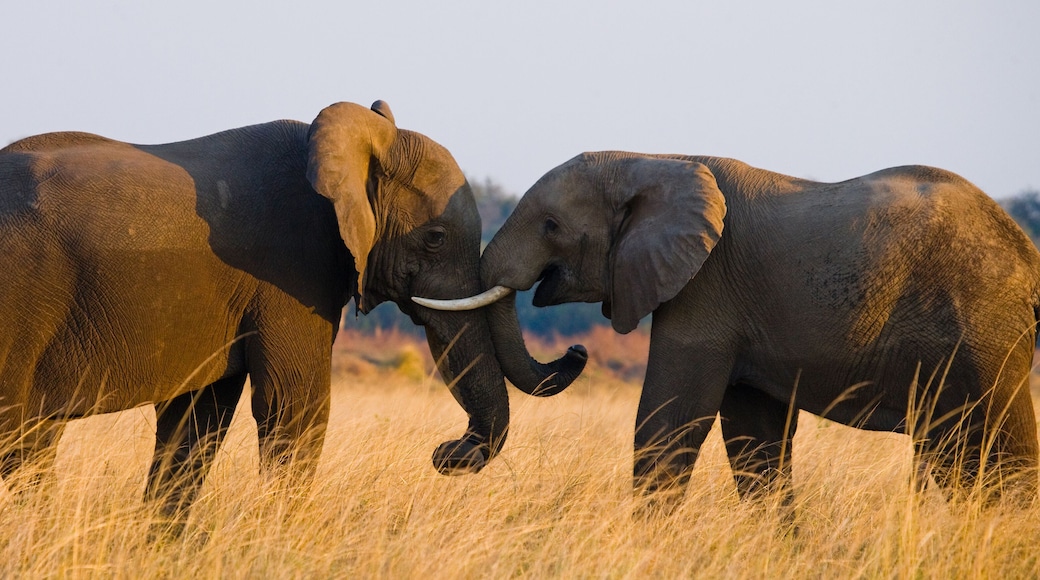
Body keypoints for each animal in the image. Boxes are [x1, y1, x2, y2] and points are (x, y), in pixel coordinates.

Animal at [0, 100, 584, 517]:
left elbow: (197, 418)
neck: (360, 141)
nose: (445, 453)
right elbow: (294, 406)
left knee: (34, 438)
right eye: (436, 238)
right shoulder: (289, 269)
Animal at [423, 151, 1040, 507]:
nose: (444, 453)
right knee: (955, 454)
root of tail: (1026, 251)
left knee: (1001, 448)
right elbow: (754, 443)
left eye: (552, 226)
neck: (654, 159)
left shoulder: (707, 289)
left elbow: (669, 424)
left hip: (983, 330)